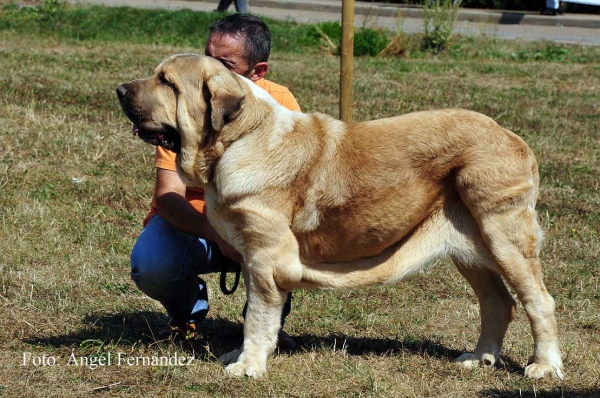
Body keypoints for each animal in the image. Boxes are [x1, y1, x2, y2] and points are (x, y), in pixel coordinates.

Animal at [116, 53, 564, 380]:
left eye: (167, 82)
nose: (119, 89)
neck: (239, 138)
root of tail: (514, 138)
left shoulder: (265, 258)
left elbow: (257, 316)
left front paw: (247, 366)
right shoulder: (251, 257)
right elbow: (256, 314)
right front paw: (242, 356)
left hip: (504, 237)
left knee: (537, 301)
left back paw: (544, 366)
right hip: (470, 248)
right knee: (497, 303)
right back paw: (480, 357)